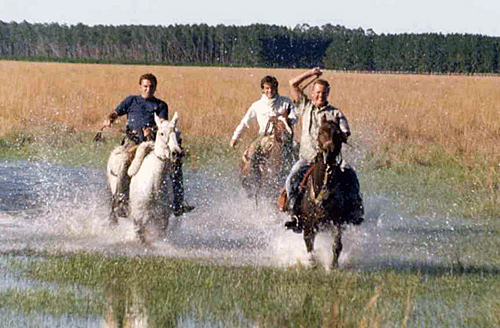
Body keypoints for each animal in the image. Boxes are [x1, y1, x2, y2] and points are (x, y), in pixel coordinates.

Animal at [294, 115, 362, 270]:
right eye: (320, 132)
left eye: (338, 134)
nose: (329, 153)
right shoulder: (309, 223)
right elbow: (309, 243)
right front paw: (312, 263)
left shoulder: (338, 221)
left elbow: (337, 245)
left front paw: (333, 266)